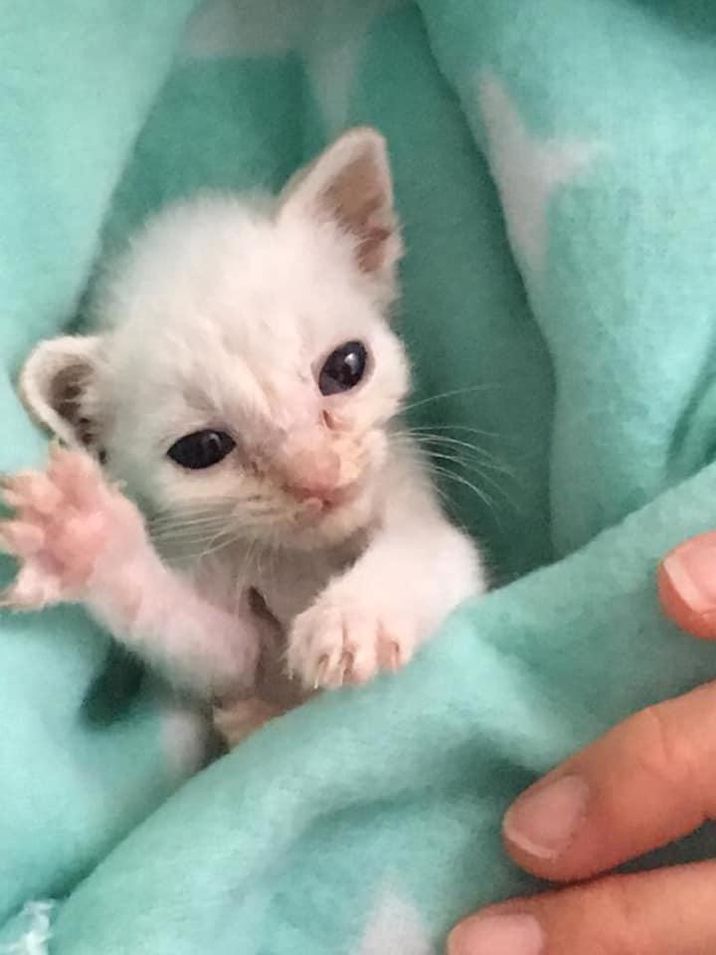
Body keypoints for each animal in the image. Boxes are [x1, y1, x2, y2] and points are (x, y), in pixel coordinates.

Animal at [1, 125, 486, 740]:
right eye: (203, 448)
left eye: (347, 367)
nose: (318, 477)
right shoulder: (230, 644)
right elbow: (211, 645)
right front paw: (87, 540)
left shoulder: (419, 508)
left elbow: (430, 553)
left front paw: (355, 616)